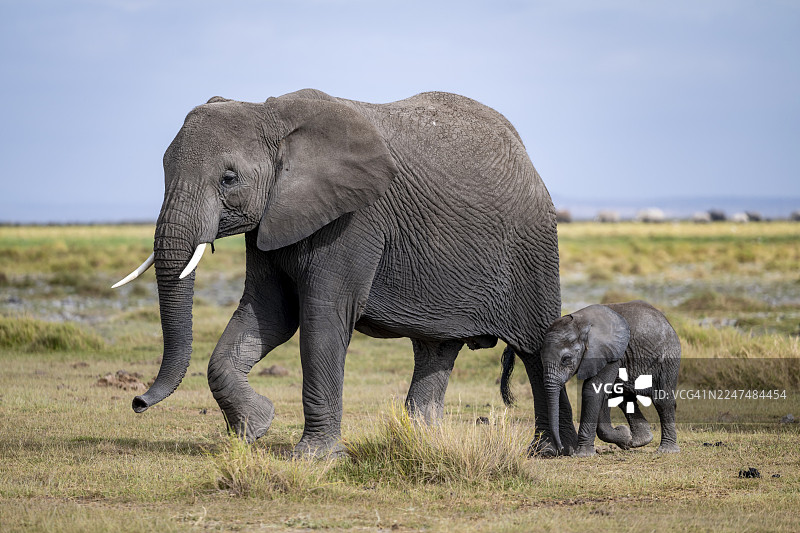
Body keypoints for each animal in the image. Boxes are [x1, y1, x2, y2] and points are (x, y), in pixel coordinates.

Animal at [113, 88, 575, 456]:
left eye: (229, 179)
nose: (137, 402)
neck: (272, 115)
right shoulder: (273, 217)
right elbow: (269, 314)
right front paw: (254, 428)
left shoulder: (354, 219)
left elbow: (323, 317)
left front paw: (312, 458)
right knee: (435, 349)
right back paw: (423, 443)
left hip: (533, 247)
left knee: (537, 348)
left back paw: (554, 451)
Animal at [533, 301, 681, 457]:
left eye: (566, 359)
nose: (561, 449)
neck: (582, 324)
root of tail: (666, 321)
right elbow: (602, 393)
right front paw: (625, 437)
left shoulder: (611, 353)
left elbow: (593, 390)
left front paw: (583, 454)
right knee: (623, 396)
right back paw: (637, 441)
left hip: (669, 356)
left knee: (662, 400)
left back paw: (667, 450)